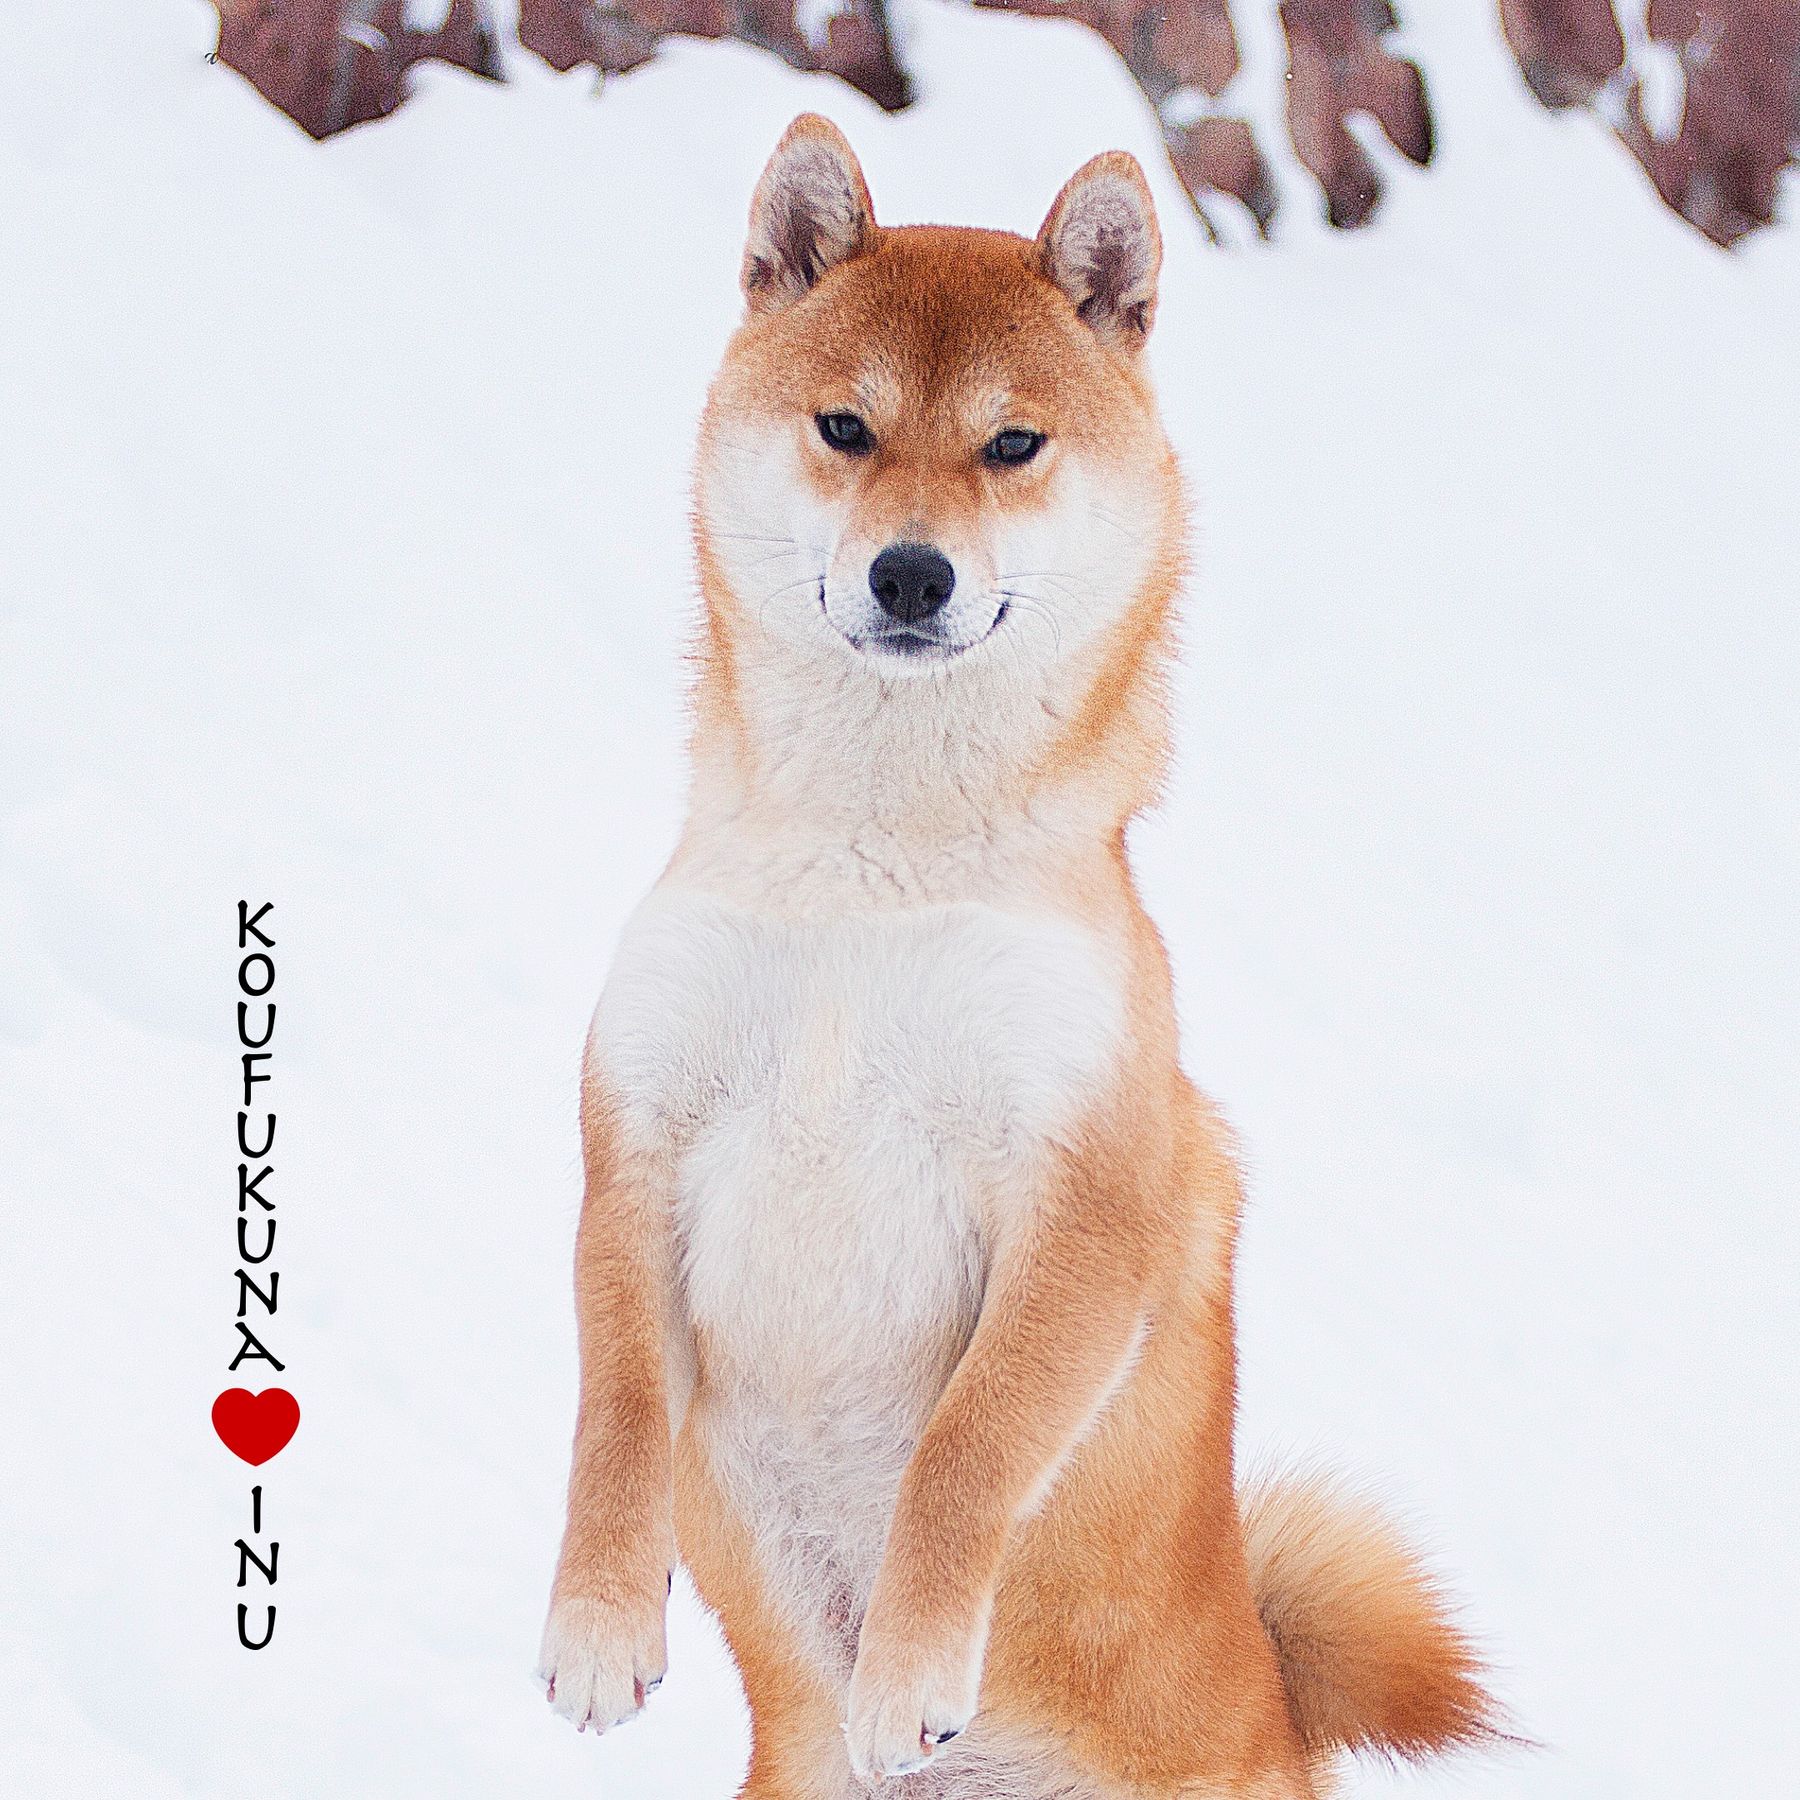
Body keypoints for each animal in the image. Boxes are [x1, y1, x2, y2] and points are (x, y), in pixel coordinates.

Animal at [540, 119, 1497, 1792]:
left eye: (1013, 447)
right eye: (845, 428)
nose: (912, 575)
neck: (870, 885)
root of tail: (1276, 1697)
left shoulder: (1084, 1207)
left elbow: (965, 1454)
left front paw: (912, 1666)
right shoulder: (636, 1149)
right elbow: (617, 1407)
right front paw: (596, 1621)